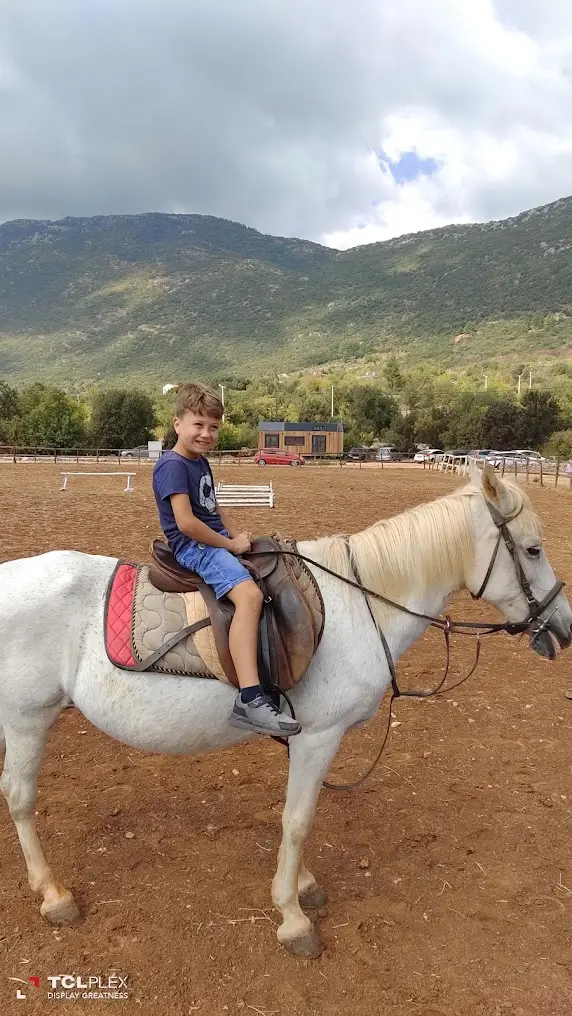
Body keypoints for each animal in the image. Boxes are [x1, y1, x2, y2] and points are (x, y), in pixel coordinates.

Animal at [0, 463, 570, 959]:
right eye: (533, 549)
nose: (563, 627)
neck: (357, 603)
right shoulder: (320, 735)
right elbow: (298, 820)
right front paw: (293, 917)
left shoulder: (306, 736)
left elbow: (299, 814)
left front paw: (303, 883)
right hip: (28, 718)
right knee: (20, 798)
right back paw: (53, 894)